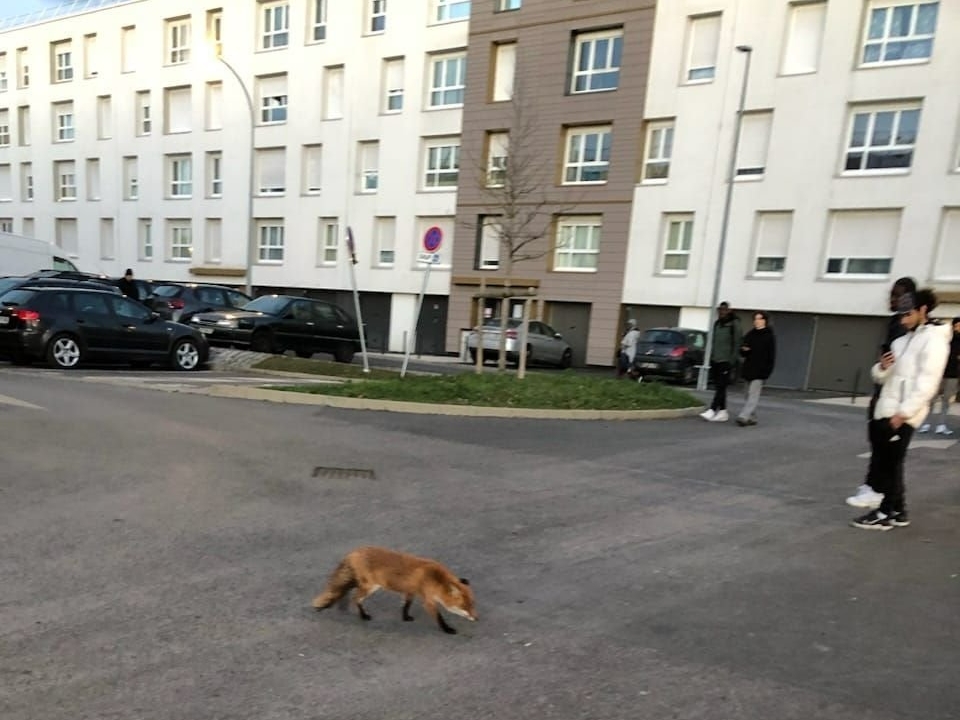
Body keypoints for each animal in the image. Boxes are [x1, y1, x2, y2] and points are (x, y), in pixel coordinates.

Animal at [314, 544, 478, 636]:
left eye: (473, 605)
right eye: (465, 607)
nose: (477, 618)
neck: (434, 578)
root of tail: (354, 551)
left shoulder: (410, 591)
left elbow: (406, 606)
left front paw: (405, 617)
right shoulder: (428, 601)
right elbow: (439, 617)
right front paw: (447, 629)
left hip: (364, 584)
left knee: (345, 590)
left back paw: (341, 605)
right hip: (370, 586)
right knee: (355, 598)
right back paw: (362, 615)